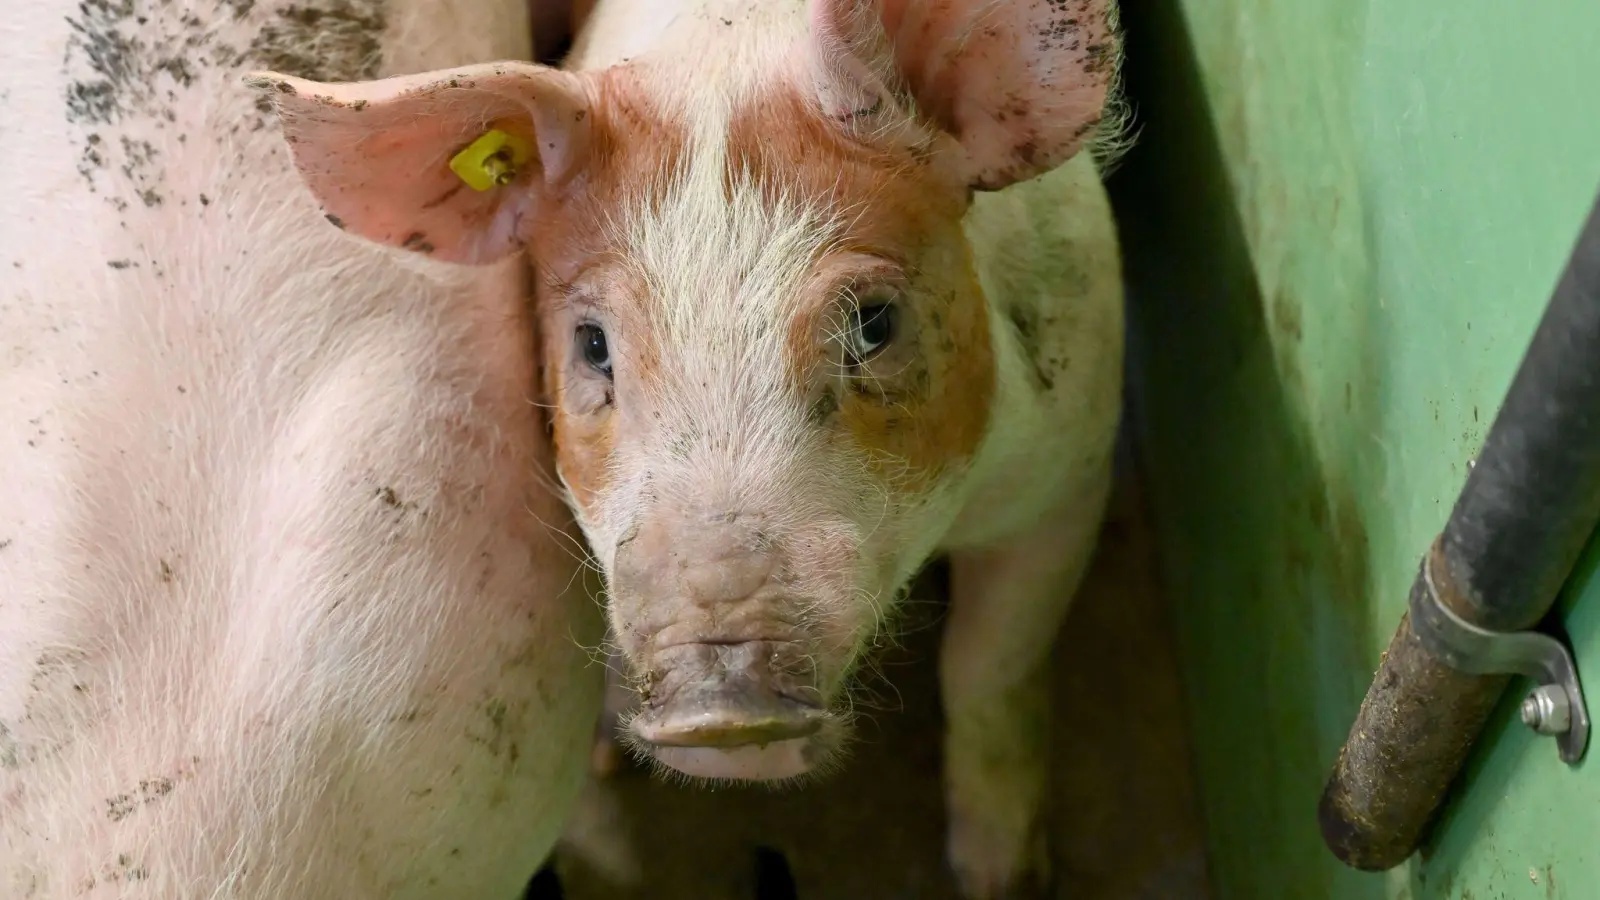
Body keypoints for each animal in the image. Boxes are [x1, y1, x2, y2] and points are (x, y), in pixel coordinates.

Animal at [246, 0, 1126, 890]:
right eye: (593, 344)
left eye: (875, 324)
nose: (723, 707)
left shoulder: (1073, 464)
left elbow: (989, 669)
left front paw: (1004, 880)